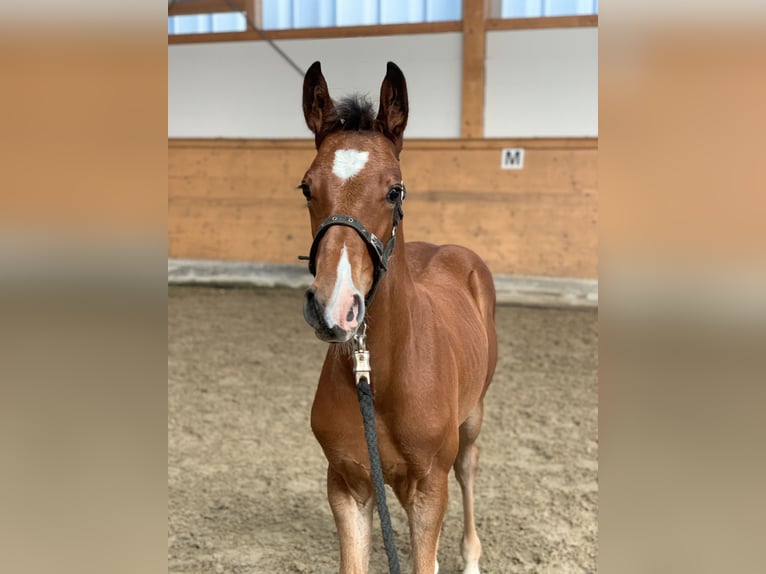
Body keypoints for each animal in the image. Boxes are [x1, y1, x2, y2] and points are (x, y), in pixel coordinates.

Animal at [300, 62, 498, 574]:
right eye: (307, 187)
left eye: (394, 190)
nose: (335, 307)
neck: (384, 378)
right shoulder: (348, 487)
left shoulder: (429, 491)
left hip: (473, 416)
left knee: (470, 468)